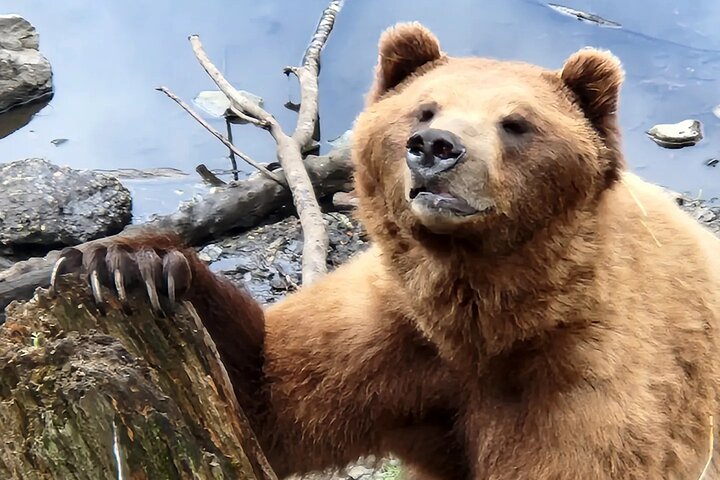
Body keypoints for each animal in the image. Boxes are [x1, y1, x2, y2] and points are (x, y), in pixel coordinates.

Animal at [50, 22, 720, 480]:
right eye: (423, 109)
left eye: (516, 123)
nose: (436, 147)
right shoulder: (395, 337)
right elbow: (268, 397)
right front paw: (130, 264)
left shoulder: (591, 377)